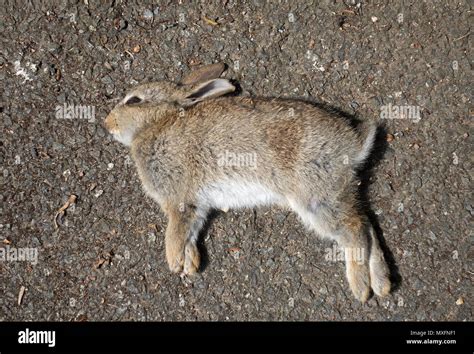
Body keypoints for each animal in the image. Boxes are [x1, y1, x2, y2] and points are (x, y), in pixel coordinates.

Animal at [105, 63, 390, 302]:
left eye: (134, 101)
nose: (107, 124)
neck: (157, 123)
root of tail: (354, 145)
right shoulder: (197, 205)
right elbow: (191, 233)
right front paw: (191, 263)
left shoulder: (180, 199)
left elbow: (176, 232)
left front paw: (174, 261)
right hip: (336, 193)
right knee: (366, 224)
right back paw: (382, 283)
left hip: (315, 194)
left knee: (354, 229)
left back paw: (360, 287)